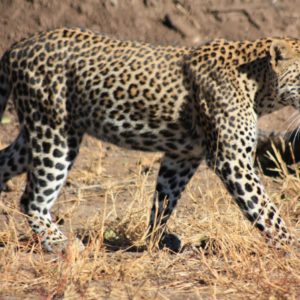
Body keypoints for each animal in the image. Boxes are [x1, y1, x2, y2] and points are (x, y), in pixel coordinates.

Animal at [0, 27, 298, 252]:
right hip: (55, 132)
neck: (258, 83)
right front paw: (290, 246)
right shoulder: (231, 160)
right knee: (32, 198)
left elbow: (164, 199)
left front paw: (157, 239)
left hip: (34, 134)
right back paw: (59, 242)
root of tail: (17, 46)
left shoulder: (182, 156)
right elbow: (265, 209)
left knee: (6, 163)